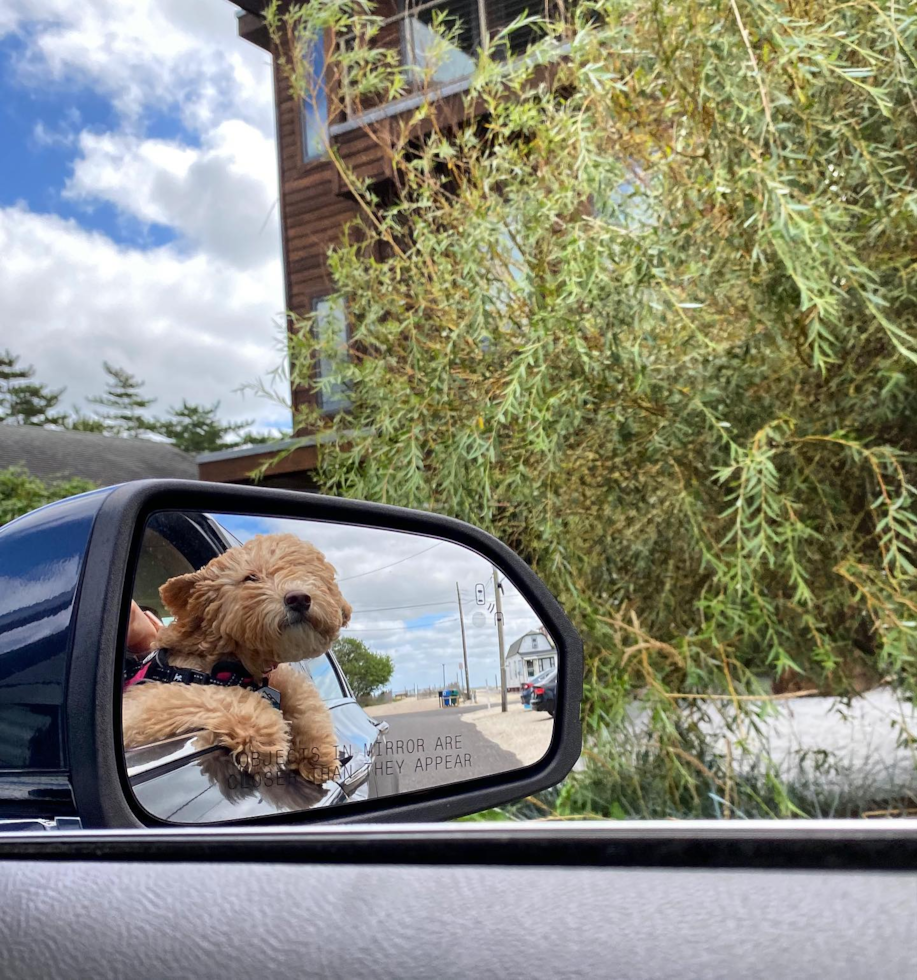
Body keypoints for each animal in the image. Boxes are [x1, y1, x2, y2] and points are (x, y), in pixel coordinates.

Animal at [121, 532, 350, 784]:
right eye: (251, 578)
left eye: (309, 574)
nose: (299, 598)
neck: (231, 662)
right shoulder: (142, 706)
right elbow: (214, 693)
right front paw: (264, 735)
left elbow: (299, 693)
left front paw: (316, 750)